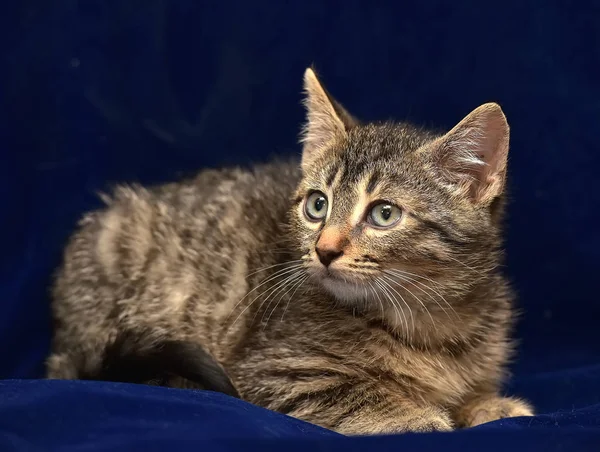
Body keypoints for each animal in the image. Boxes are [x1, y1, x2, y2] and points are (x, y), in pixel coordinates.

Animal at [48, 68, 536, 434]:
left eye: (384, 214)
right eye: (317, 205)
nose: (324, 249)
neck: (430, 322)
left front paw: (488, 405)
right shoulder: (272, 371)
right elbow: (355, 393)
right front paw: (419, 415)